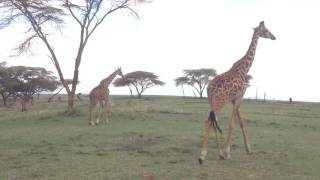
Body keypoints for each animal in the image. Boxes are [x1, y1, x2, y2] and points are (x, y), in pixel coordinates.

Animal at [198, 21, 276, 165]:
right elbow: (232, 123)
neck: (244, 69)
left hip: (211, 102)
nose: (274, 37)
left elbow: (241, 121)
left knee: (213, 121)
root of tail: (209, 88)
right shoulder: (240, 97)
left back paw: (219, 154)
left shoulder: (234, 99)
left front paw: (248, 150)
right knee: (209, 121)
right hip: (220, 102)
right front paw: (228, 153)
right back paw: (202, 155)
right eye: (266, 30)